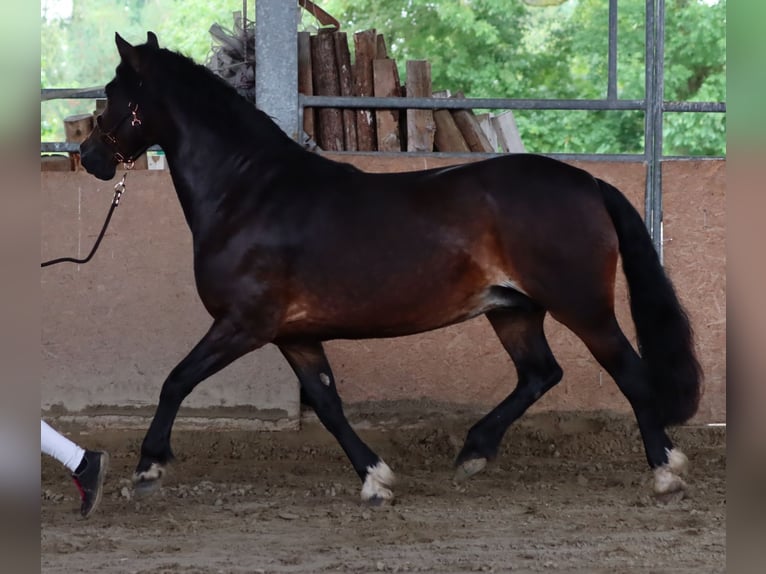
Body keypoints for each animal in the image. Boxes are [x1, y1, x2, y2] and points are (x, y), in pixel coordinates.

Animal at [79, 33, 704, 506]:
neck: (248, 192)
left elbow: (176, 380)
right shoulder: (294, 336)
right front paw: (376, 479)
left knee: (628, 373)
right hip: (513, 311)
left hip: (583, 307)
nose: (89, 158)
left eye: (112, 92)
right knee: (539, 374)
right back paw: (474, 451)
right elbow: (328, 406)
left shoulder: (243, 325)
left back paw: (666, 472)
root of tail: (588, 183)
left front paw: (149, 468)